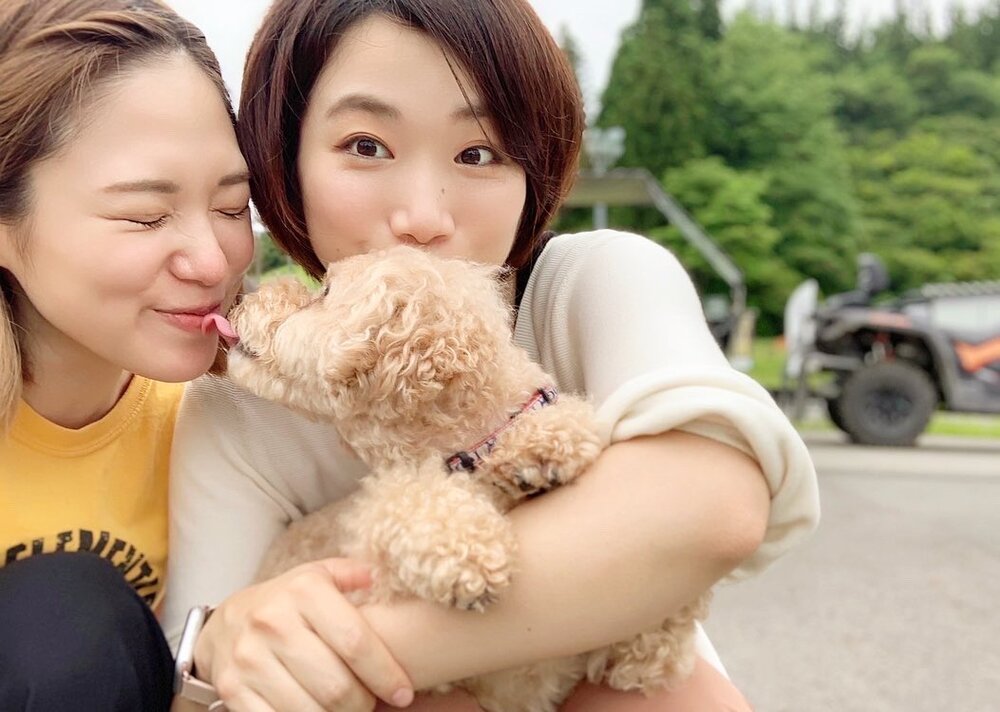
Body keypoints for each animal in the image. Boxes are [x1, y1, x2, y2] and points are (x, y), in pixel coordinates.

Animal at [225, 245, 709, 711]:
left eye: (324, 292)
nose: (244, 300)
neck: (471, 455)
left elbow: (660, 636)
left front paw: (543, 445)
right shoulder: (374, 580)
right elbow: (404, 500)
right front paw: (468, 552)